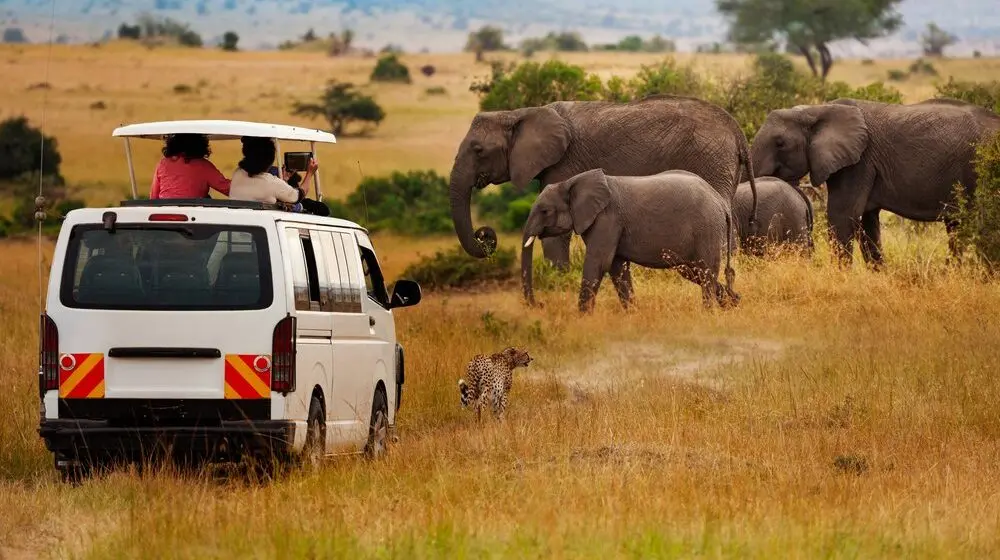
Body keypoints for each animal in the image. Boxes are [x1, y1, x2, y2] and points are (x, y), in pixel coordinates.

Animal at [447, 95, 759, 283]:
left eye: (478, 150)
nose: (485, 234)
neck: (518, 114)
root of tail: (737, 132)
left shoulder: (564, 163)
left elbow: (556, 233)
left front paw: (559, 280)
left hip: (710, 160)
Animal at [520, 168, 739, 312]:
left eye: (545, 211)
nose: (540, 304)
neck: (570, 182)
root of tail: (720, 202)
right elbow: (617, 267)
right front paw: (632, 314)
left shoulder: (607, 218)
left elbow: (599, 262)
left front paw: (582, 318)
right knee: (694, 271)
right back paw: (733, 303)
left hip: (707, 227)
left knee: (705, 270)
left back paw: (709, 312)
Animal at [749, 97, 1000, 267]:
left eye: (780, 143)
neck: (816, 109)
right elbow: (867, 222)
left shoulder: (859, 163)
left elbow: (842, 216)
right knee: (956, 227)